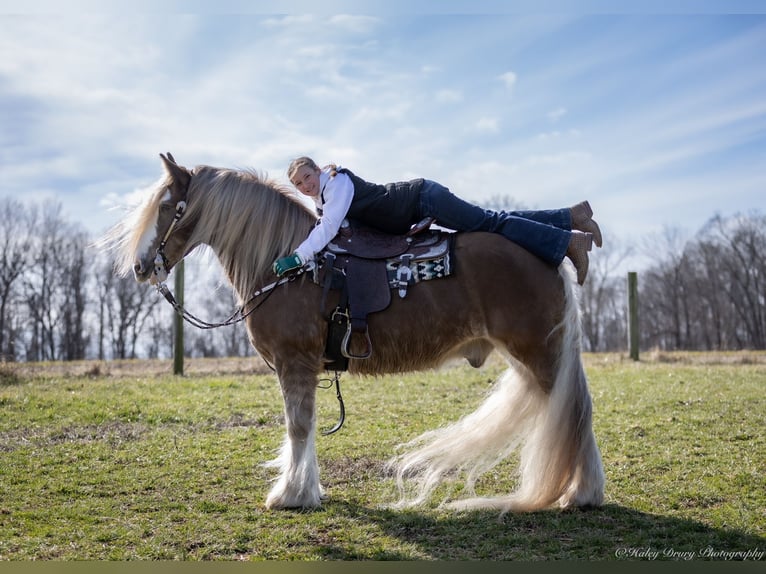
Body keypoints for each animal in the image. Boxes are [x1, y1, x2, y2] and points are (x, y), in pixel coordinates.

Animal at [102, 152, 608, 512]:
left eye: (168, 206)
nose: (141, 267)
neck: (290, 267)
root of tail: (552, 261)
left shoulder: (294, 362)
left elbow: (298, 425)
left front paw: (290, 495)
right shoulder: (302, 367)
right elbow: (302, 428)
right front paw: (307, 490)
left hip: (539, 354)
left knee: (576, 413)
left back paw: (581, 494)